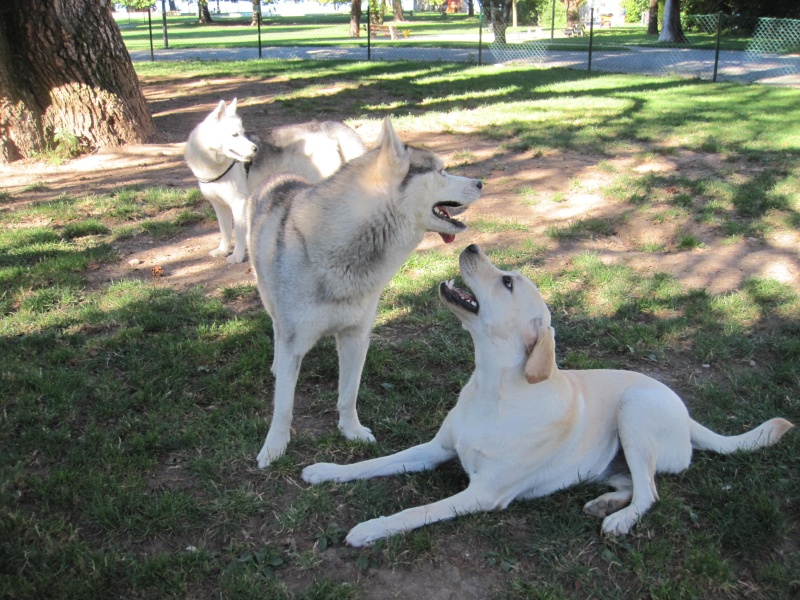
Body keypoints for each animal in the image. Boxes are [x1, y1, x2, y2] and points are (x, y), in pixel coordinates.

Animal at [184, 99, 366, 264]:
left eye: (242, 133)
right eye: (235, 135)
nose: (255, 149)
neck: (212, 163)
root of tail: (323, 126)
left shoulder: (238, 203)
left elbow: (239, 233)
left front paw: (237, 256)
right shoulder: (218, 204)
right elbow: (225, 230)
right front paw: (222, 250)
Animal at [247, 115, 484, 466]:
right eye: (441, 171)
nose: (481, 182)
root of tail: (280, 177)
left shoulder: (356, 337)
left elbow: (348, 395)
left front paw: (352, 431)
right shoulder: (293, 342)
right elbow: (284, 407)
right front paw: (274, 448)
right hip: (269, 299)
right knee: (275, 327)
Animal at [302, 245, 792, 548]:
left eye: (507, 283)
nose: (472, 245)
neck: (493, 389)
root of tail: (686, 414)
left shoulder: (484, 494)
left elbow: (415, 512)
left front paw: (371, 529)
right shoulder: (434, 450)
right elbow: (374, 463)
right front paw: (327, 470)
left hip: (634, 411)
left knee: (650, 492)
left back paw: (619, 518)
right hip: (612, 455)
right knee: (632, 482)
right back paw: (606, 502)